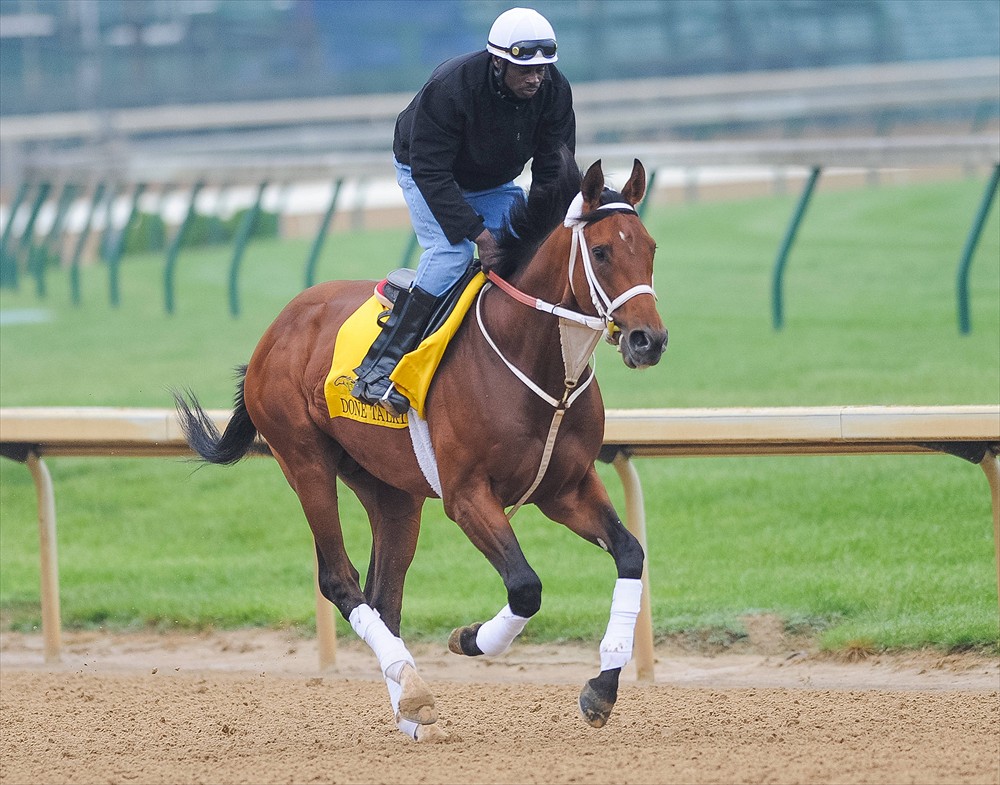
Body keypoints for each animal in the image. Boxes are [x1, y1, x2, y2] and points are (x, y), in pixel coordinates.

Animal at [176, 149, 668, 740]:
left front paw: (602, 688)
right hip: (304, 460)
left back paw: (407, 702)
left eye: (650, 248)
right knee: (340, 580)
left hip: (390, 491)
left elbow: (630, 553)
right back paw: (412, 690)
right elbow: (525, 585)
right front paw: (471, 638)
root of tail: (274, 330)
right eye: (601, 251)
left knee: (383, 595)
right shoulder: (467, 496)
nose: (648, 340)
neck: (537, 364)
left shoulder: (565, 488)